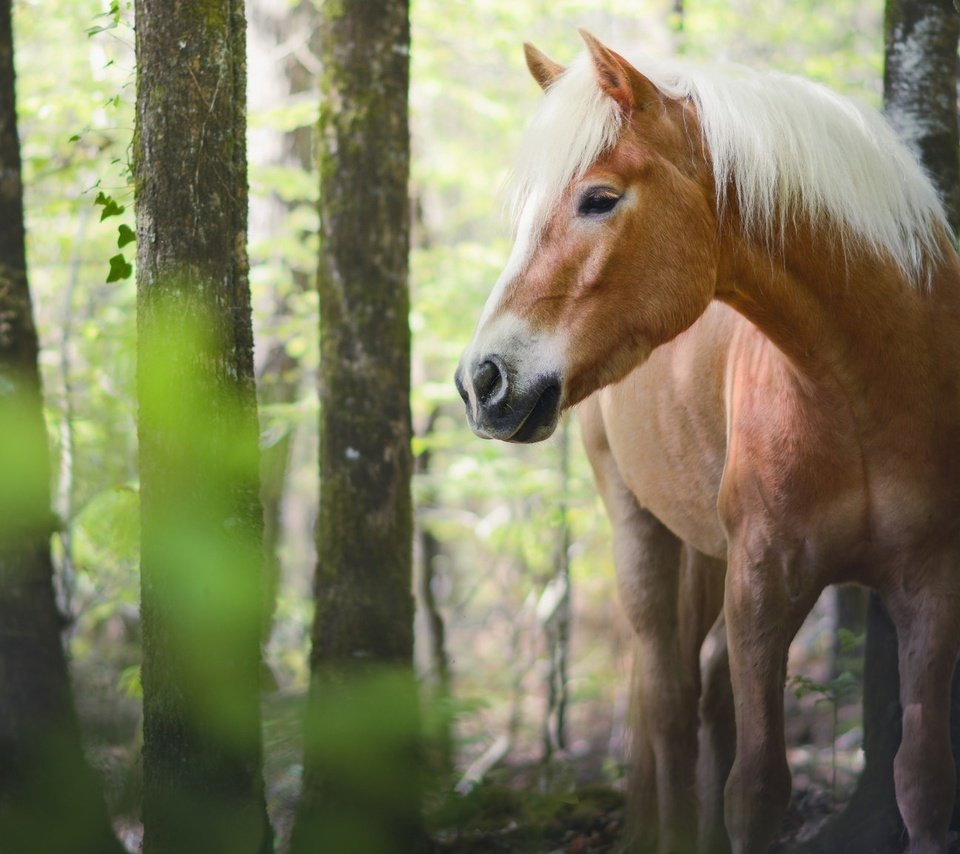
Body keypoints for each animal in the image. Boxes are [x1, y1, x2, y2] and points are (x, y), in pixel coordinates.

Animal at [456, 28, 960, 854]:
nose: (481, 381)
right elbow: (754, 790)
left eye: (599, 198)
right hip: (640, 532)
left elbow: (922, 779)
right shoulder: (761, 583)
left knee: (709, 689)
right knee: (670, 700)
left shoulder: (930, 586)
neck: (862, 390)